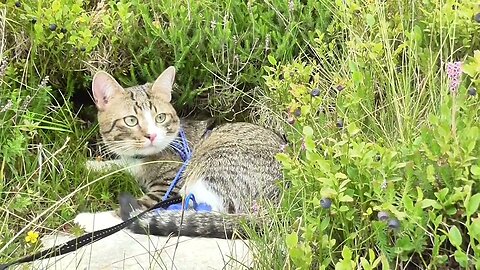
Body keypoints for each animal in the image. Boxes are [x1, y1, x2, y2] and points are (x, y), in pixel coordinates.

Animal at [87, 67, 284, 238]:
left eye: (160, 118)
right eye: (131, 120)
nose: (152, 135)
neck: (141, 158)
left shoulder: (166, 187)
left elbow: (129, 213)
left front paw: (91, 221)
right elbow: (115, 166)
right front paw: (90, 165)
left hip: (211, 169)